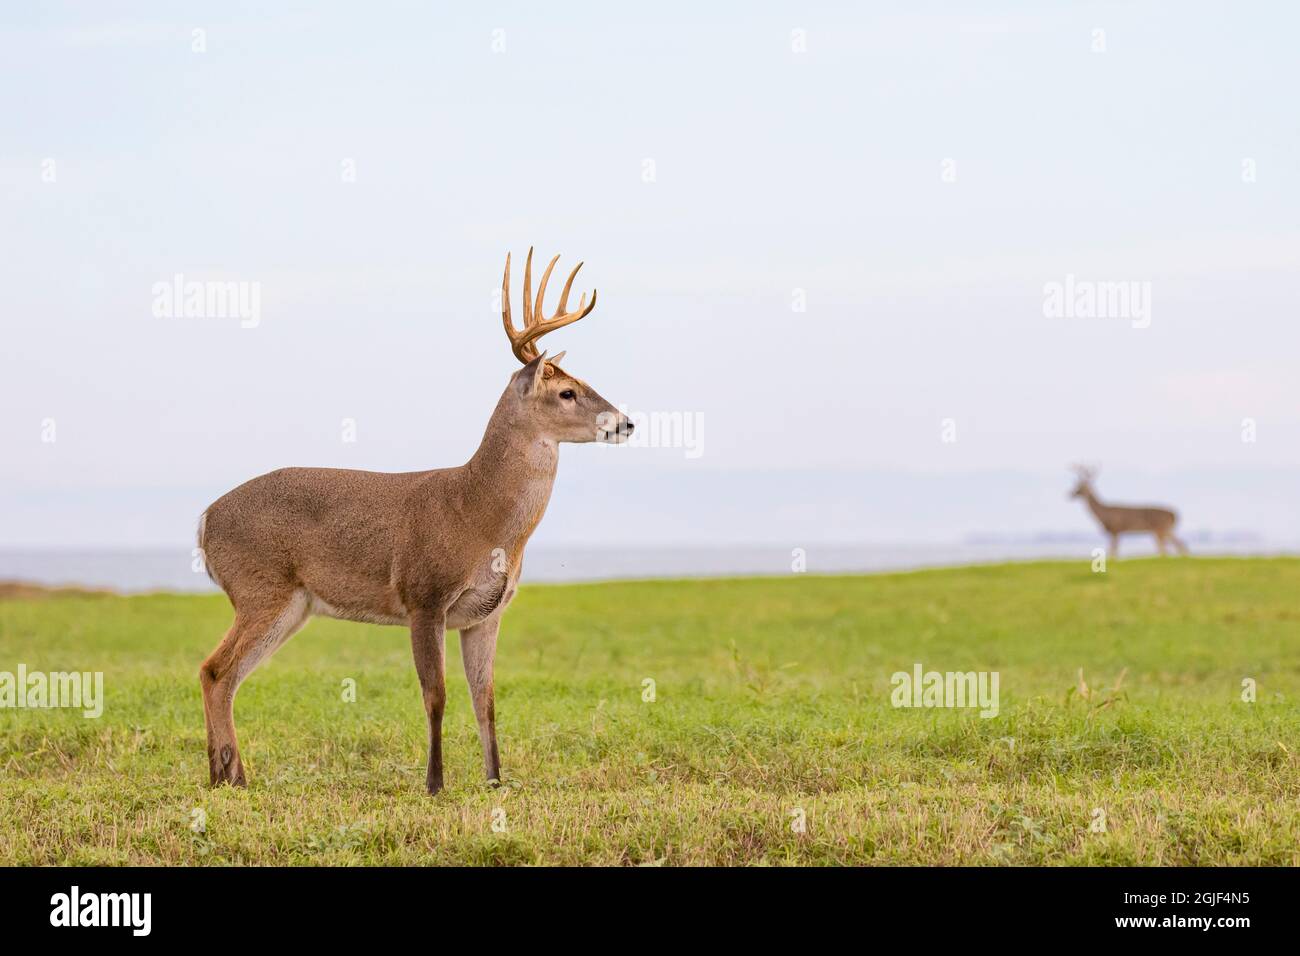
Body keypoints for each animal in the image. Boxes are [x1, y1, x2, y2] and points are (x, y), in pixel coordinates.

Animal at [197, 248, 632, 795]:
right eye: (568, 392)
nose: (626, 422)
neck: (478, 513)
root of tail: (204, 521)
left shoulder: (487, 613)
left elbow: (486, 699)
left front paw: (495, 780)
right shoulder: (425, 597)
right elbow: (436, 695)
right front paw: (435, 783)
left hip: (292, 605)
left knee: (227, 676)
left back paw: (231, 777)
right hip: (261, 588)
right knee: (214, 670)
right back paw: (224, 776)